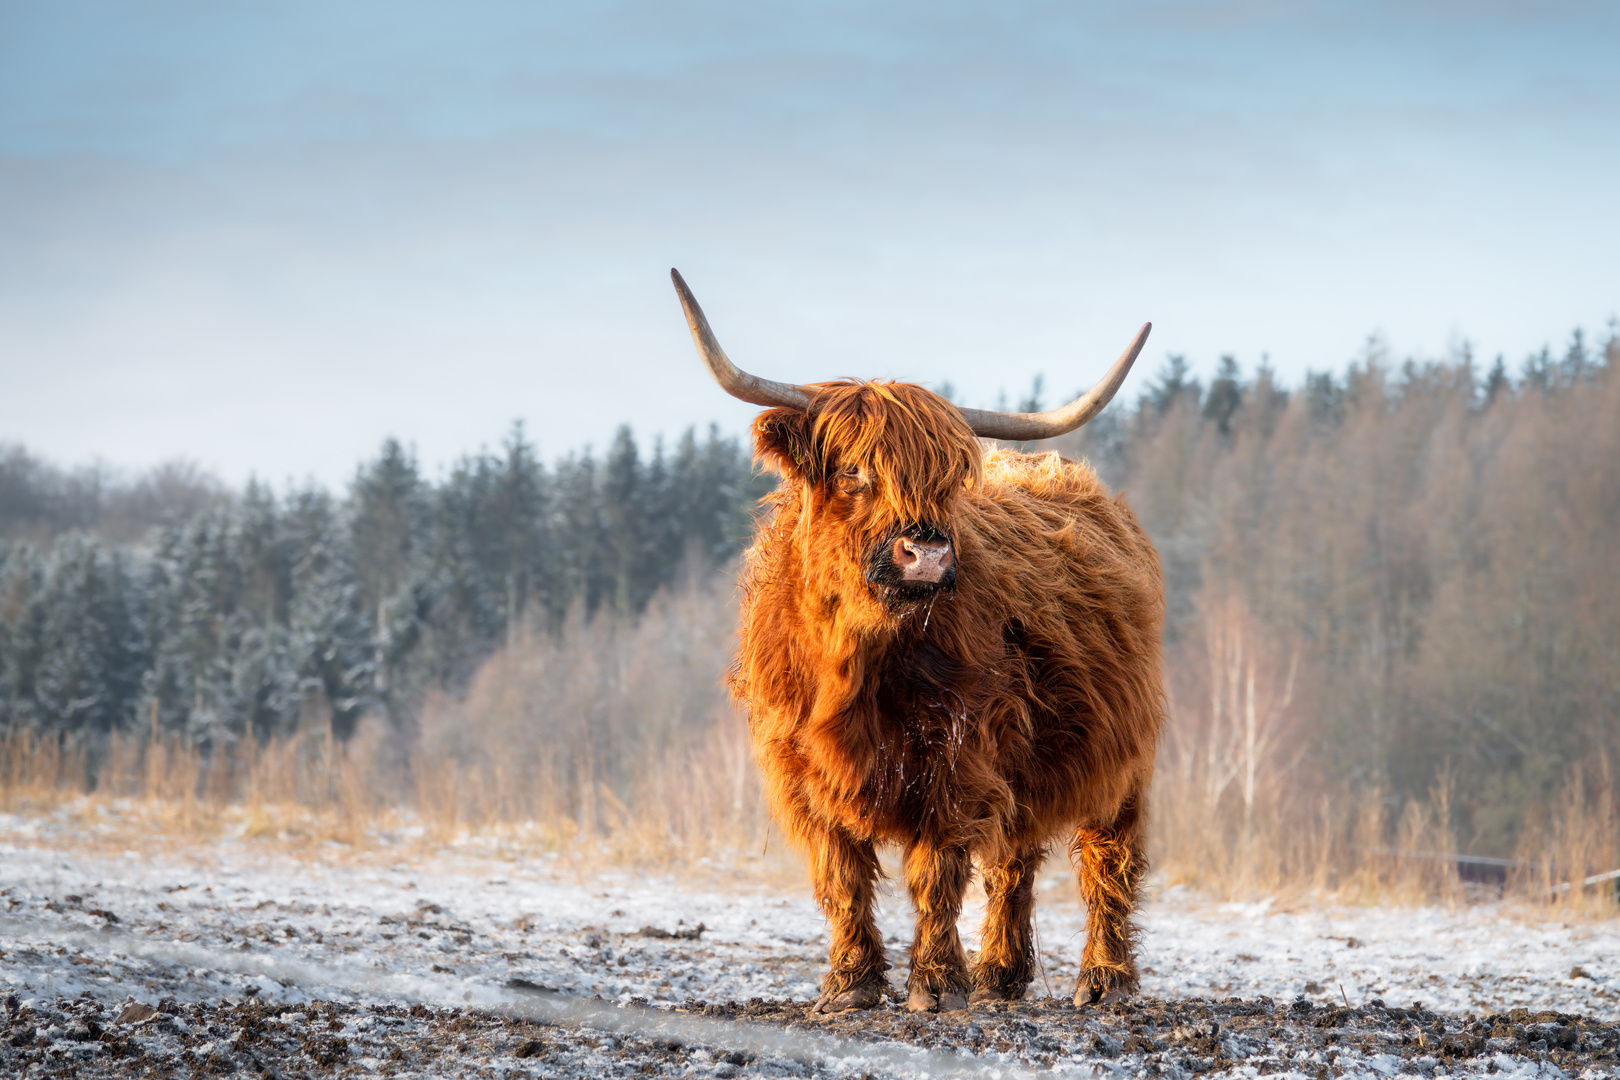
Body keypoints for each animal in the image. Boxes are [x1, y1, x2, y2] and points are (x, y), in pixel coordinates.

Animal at [670, 270, 1166, 1016]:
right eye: (853, 471)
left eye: (946, 480)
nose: (926, 552)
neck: (859, 657)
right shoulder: (800, 768)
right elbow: (842, 876)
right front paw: (851, 984)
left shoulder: (959, 756)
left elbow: (937, 874)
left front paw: (933, 985)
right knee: (1014, 860)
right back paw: (999, 977)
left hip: (1121, 761)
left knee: (1110, 859)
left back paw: (1103, 981)